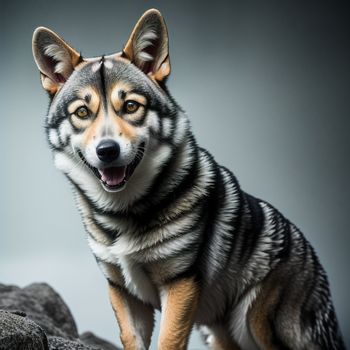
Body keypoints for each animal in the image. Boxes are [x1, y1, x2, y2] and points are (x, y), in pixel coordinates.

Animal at [32, 8, 344, 350]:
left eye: (130, 106)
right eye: (82, 112)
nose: (107, 151)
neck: (124, 214)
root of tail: (313, 260)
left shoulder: (179, 285)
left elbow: (168, 341)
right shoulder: (123, 292)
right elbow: (132, 339)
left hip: (256, 326)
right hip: (219, 335)